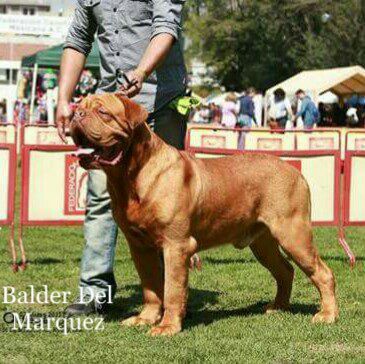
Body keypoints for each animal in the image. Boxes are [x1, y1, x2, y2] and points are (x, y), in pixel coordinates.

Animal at [70, 93, 338, 336]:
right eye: (79, 107)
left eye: (103, 112)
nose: (77, 114)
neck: (130, 176)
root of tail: (295, 170)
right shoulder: (140, 247)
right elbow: (151, 287)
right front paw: (145, 318)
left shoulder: (176, 245)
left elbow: (172, 289)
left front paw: (167, 327)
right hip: (263, 243)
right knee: (285, 270)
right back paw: (278, 307)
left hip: (293, 234)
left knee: (322, 272)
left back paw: (327, 314)